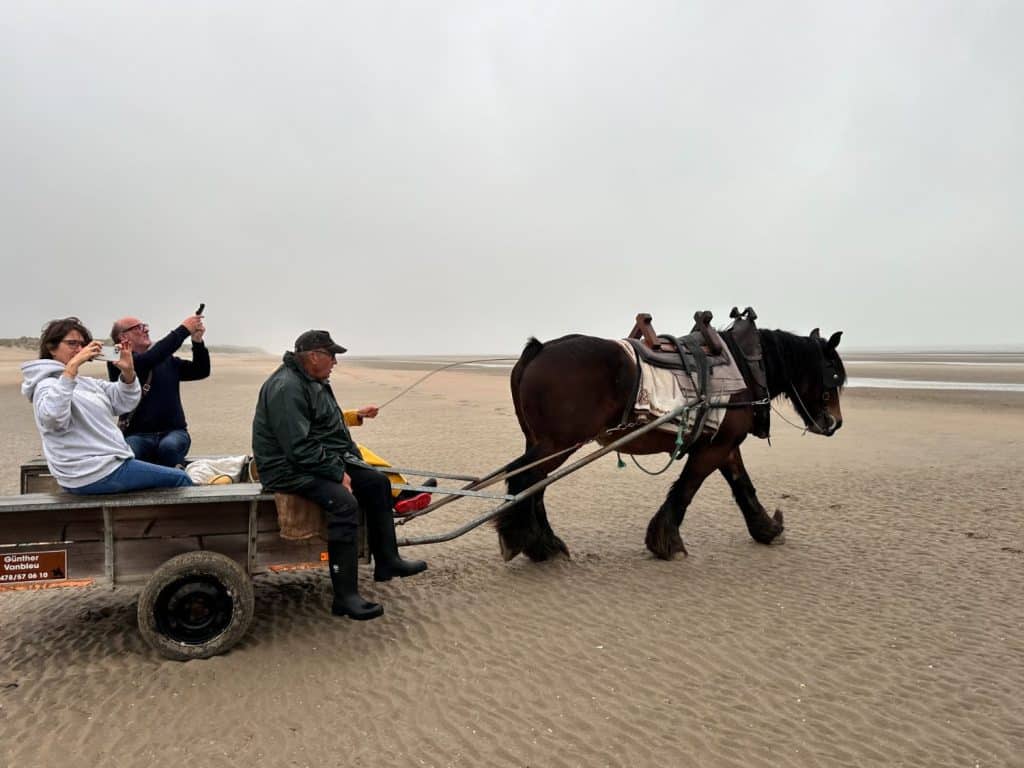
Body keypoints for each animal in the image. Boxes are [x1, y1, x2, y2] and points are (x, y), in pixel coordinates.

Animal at [497, 327, 847, 561]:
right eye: (832, 375)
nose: (835, 422)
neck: (746, 367)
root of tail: (540, 349)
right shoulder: (713, 448)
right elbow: (686, 488)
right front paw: (667, 541)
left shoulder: (725, 445)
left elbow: (743, 487)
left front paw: (767, 529)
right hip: (558, 444)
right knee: (525, 479)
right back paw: (532, 544)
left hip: (544, 443)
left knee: (534, 486)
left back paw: (544, 543)